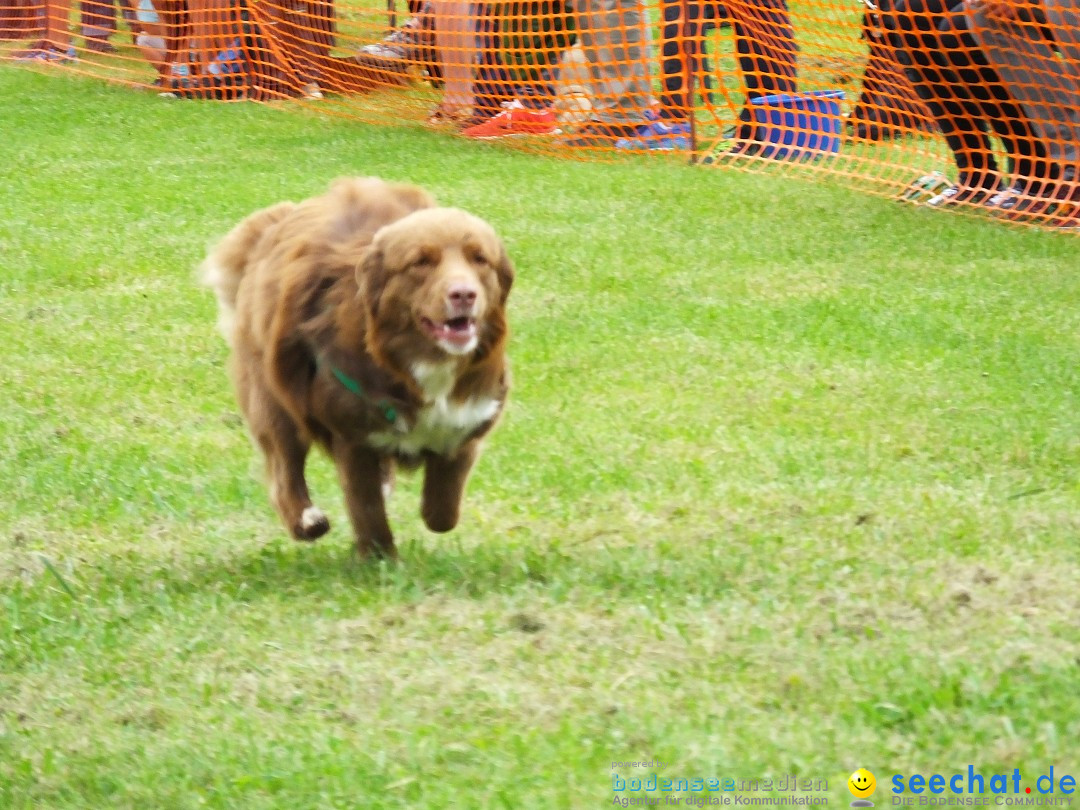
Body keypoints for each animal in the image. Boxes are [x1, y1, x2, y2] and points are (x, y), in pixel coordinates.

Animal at [203, 177, 514, 557]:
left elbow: (443, 510)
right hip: (272, 395)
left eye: (479, 259)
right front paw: (380, 557)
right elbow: (367, 509)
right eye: (420, 262)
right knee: (283, 468)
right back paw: (305, 520)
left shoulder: (467, 420)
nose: (464, 294)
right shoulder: (353, 437)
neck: (417, 364)